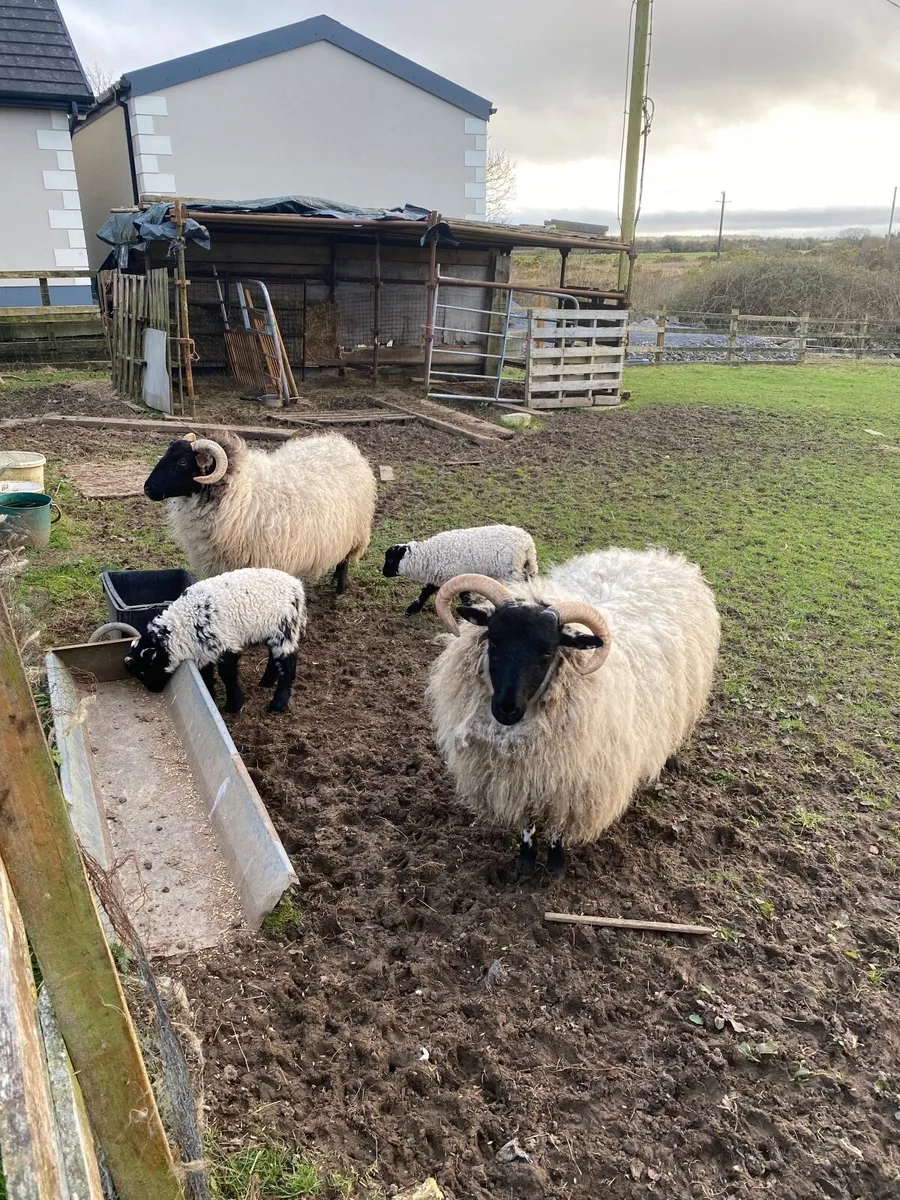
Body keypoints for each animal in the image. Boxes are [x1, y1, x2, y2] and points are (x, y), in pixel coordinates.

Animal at [123, 568, 307, 714]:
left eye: (143, 670)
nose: (153, 690)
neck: (182, 626)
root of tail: (296, 586)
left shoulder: (225, 644)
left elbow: (227, 675)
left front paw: (233, 705)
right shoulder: (204, 651)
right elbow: (206, 674)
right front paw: (210, 696)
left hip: (284, 628)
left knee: (286, 664)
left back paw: (277, 705)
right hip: (274, 630)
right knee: (278, 657)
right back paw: (267, 682)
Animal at [143, 430, 376, 593]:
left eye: (182, 462)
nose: (147, 488)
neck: (239, 493)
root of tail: (341, 443)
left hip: (354, 531)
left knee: (345, 561)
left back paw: (340, 588)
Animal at [383, 524, 538, 615]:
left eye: (390, 560)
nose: (383, 573)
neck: (428, 556)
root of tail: (528, 543)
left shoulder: (456, 575)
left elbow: (464, 596)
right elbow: (425, 592)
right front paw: (413, 609)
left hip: (509, 572)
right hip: (523, 568)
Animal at [425, 547, 720, 878]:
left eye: (547, 652)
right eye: (495, 642)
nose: (506, 709)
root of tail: (661, 557)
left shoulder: (569, 784)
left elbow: (558, 828)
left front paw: (555, 866)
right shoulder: (528, 777)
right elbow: (529, 824)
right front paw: (526, 862)